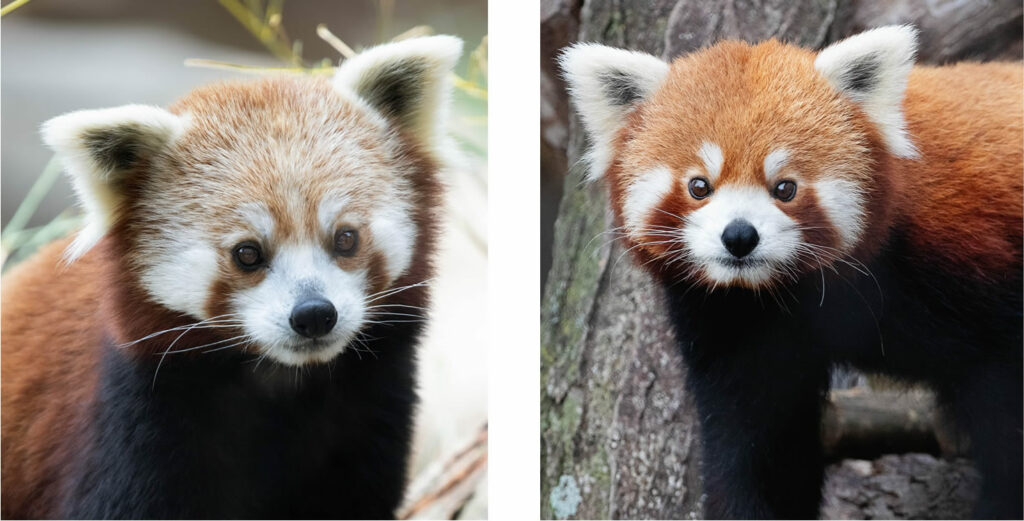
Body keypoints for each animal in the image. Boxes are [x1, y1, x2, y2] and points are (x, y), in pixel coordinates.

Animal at [0, 34, 462, 517]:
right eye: (247, 254)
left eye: (346, 238)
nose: (314, 314)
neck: (283, 382)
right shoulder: (134, 419)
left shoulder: (372, 409)